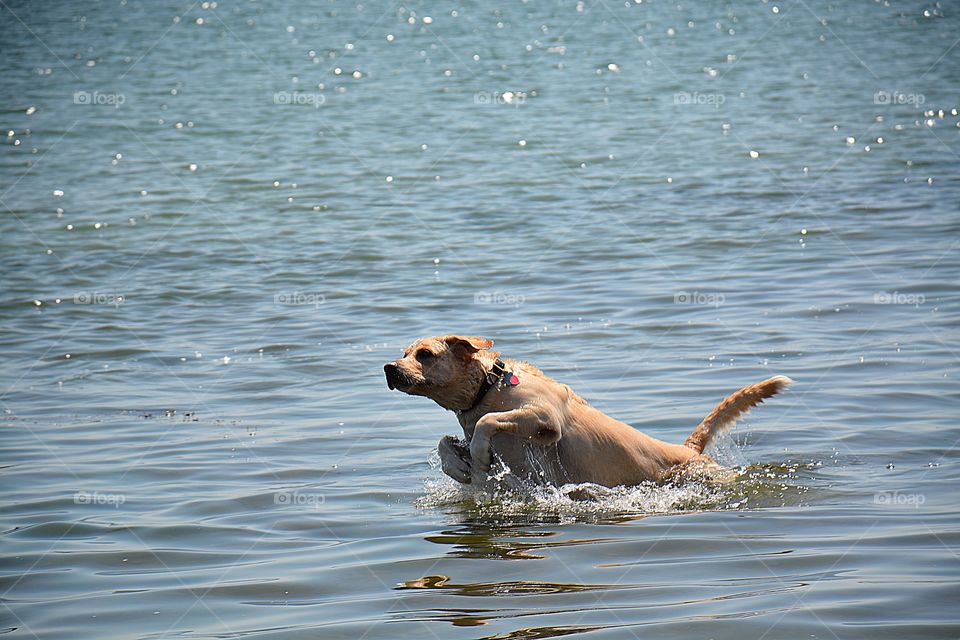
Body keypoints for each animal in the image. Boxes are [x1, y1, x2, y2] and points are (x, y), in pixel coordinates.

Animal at [380, 336, 788, 484]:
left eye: (425, 354)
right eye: (403, 352)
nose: (388, 367)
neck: (490, 386)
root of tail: (688, 448)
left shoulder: (545, 420)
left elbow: (487, 422)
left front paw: (478, 457)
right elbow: (444, 441)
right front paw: (460, 468)